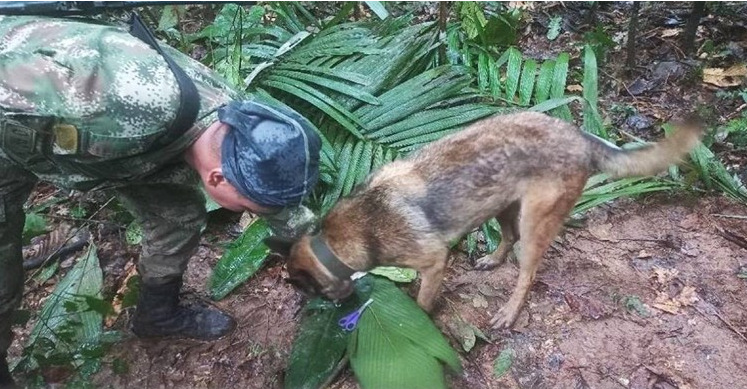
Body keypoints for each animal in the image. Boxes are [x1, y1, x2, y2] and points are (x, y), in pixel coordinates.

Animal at [266, 110, 704, 328]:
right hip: (502, 206)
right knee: (506, 239)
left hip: (533, 222)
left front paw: (417, 320)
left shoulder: (433, 263)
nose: (336, 309)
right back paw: (492, 259)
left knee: (527, 272)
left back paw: (510, 311)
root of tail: (579, 135)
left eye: (307, 291)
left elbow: (423, 302)